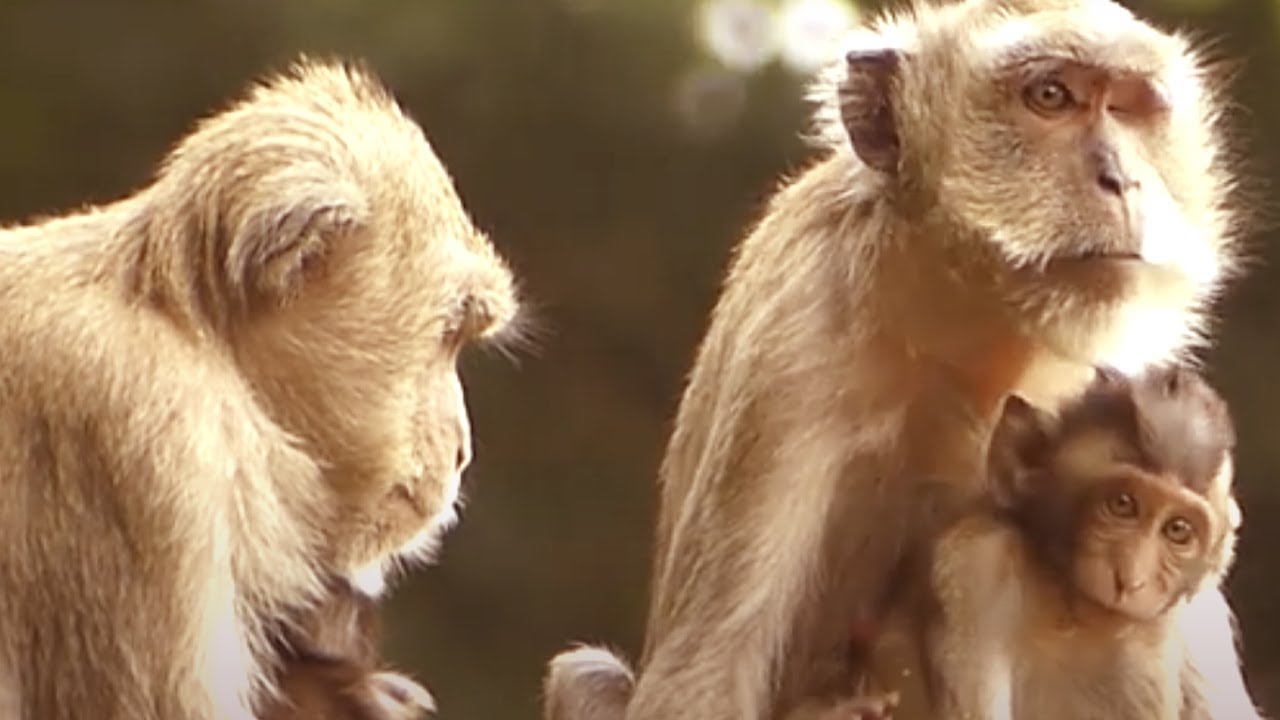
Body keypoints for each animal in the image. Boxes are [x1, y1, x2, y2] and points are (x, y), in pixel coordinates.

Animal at [543, 0, 1262, 718]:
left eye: (1129, 107)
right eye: (1051, 97)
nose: (1121, 179)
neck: (968, 325)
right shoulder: (798, 341)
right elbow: (708, 671)